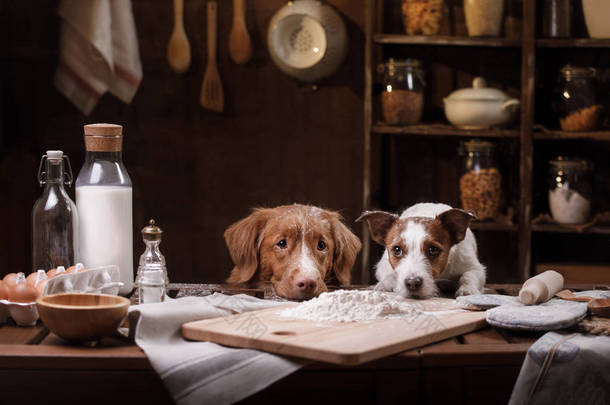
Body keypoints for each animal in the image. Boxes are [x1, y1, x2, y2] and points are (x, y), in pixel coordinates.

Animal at [356, 202, 484, 296]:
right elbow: (390, 274)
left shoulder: (475, 268)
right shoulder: (382, 265)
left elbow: (468, 276)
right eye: (397, 249)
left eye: (433, 249)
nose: (412, 283)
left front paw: (467, 289)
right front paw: (383, 285)